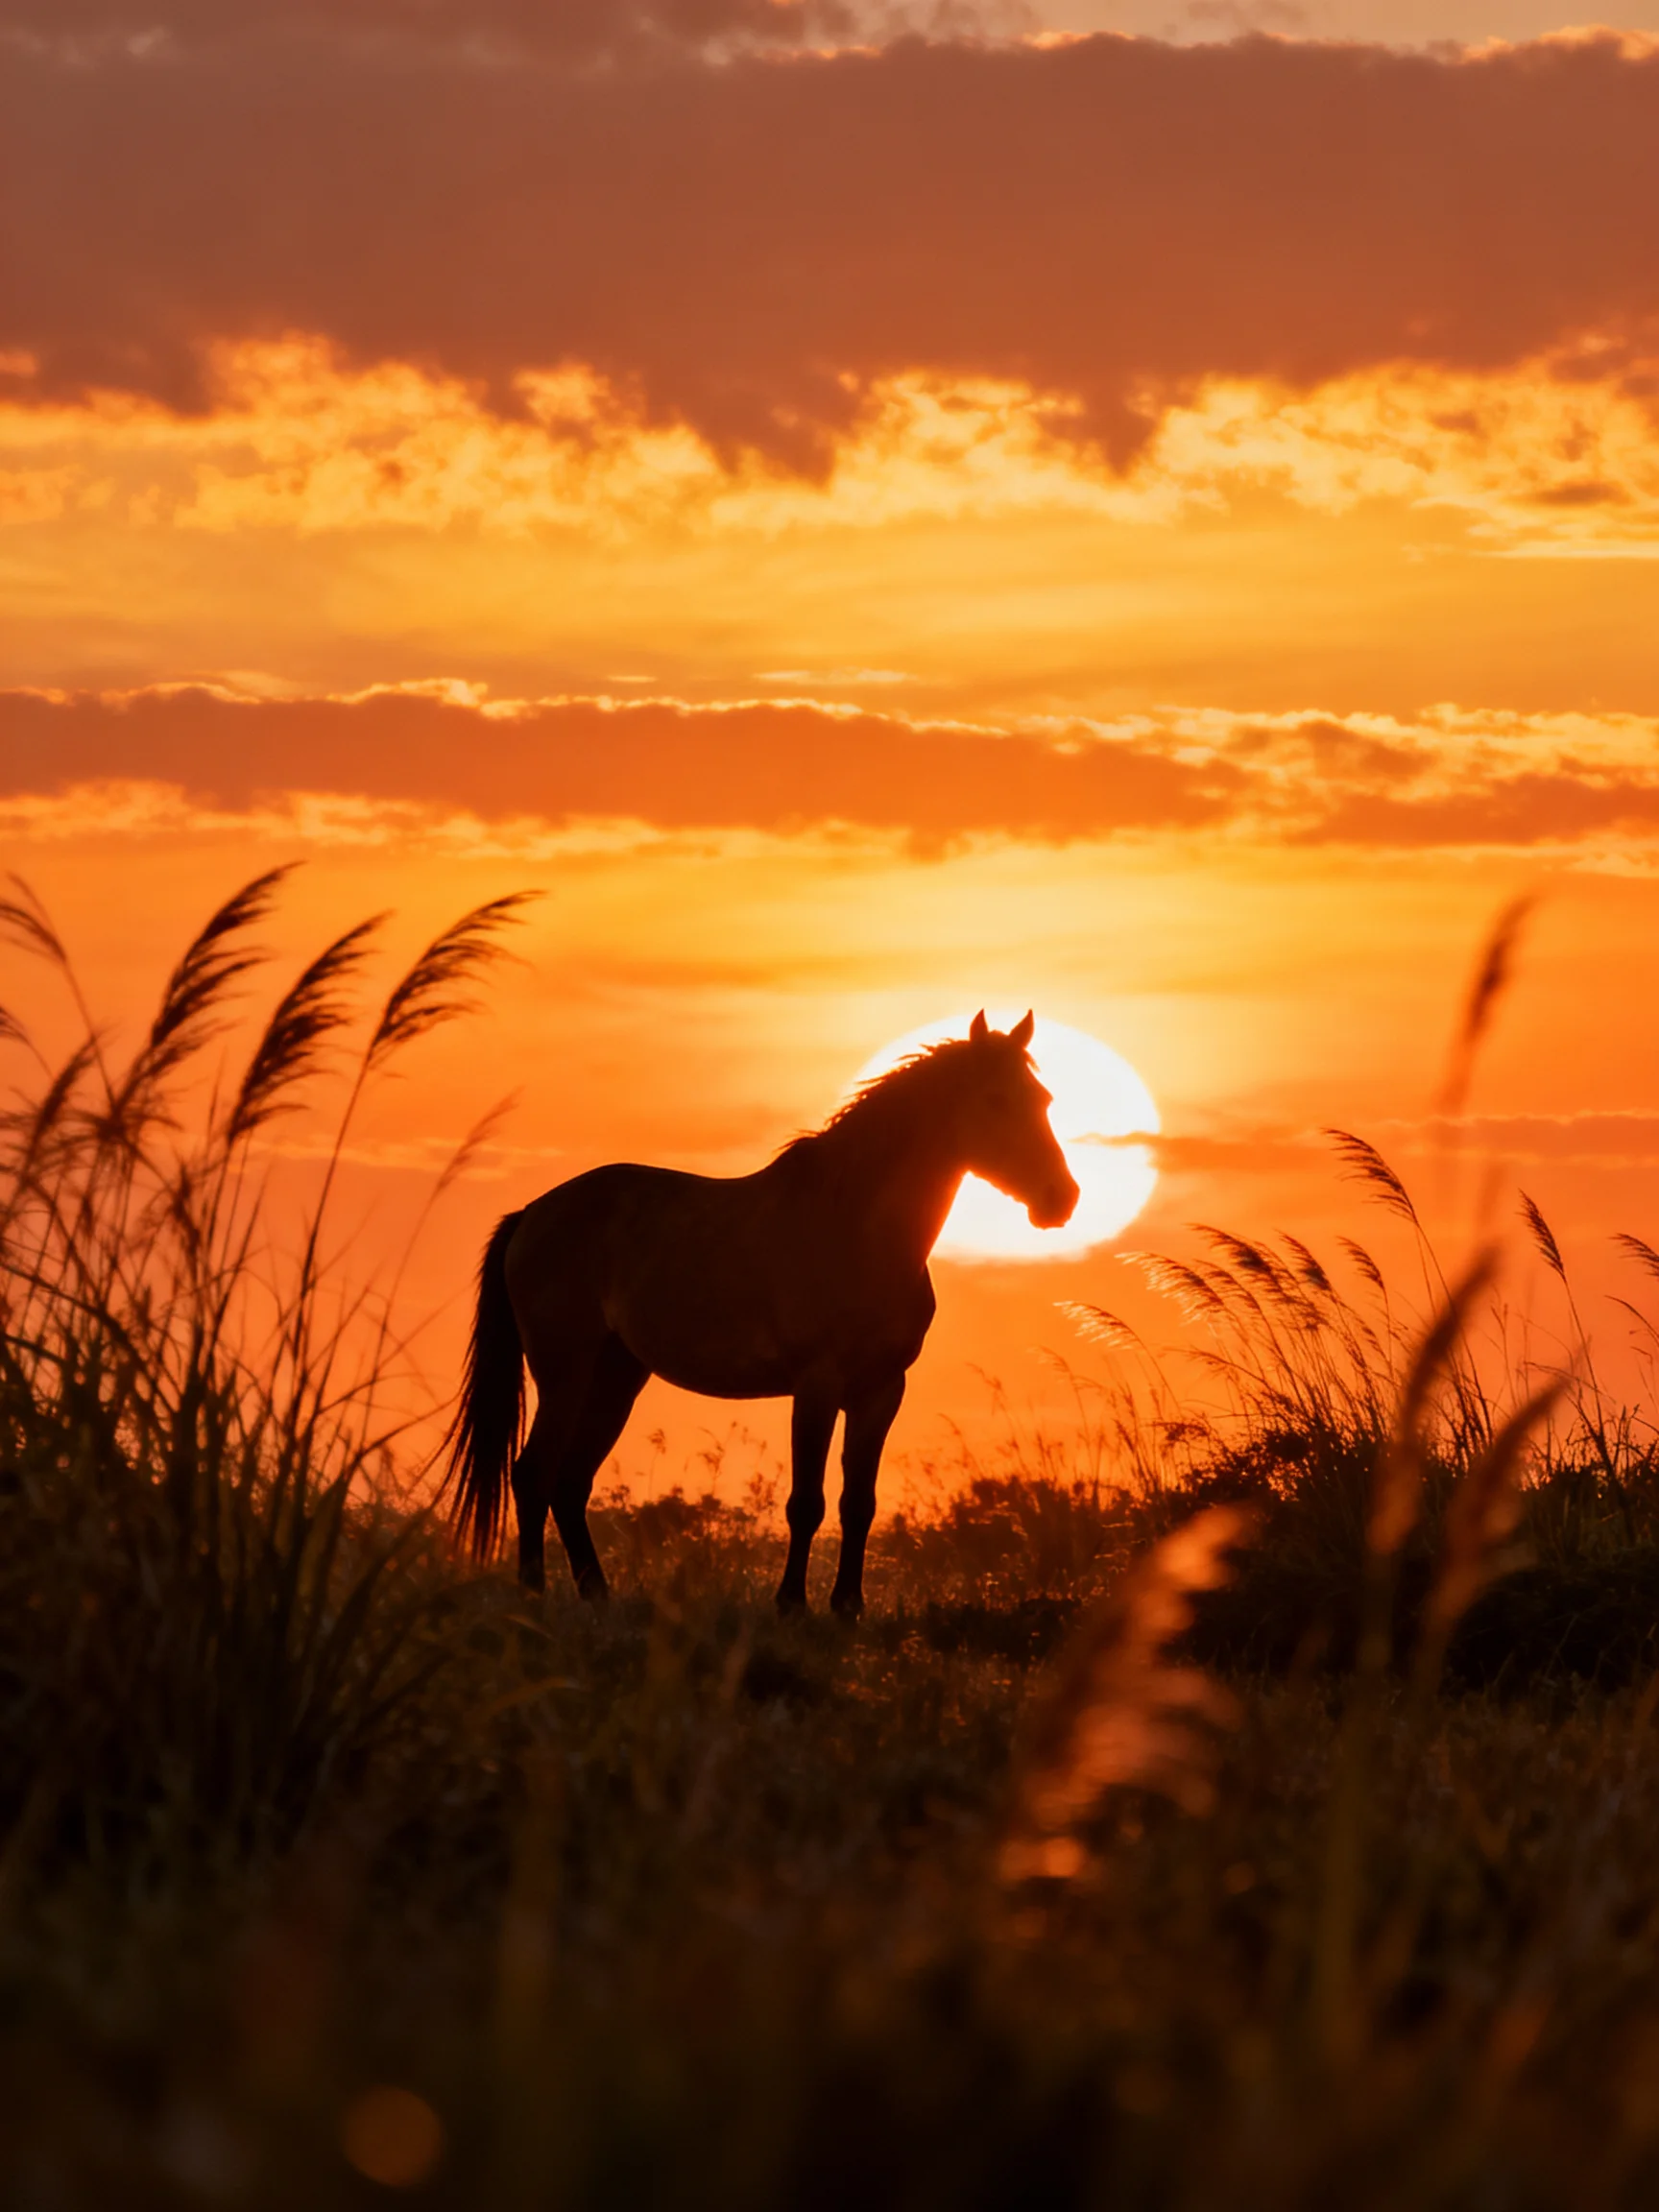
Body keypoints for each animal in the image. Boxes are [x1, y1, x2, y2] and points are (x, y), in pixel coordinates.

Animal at [442, 1010, 1079, 1615]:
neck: (857, 1231)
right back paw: (533, 1597)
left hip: (615, 1376)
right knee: (533, 1474)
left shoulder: (881, 1390)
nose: (1060, 1199)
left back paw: (596, 1596)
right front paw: (791, 1604)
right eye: (995, 1099)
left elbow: (859, 1503)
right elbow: (807, 1503)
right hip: (564, 1373)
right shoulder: (817, 1385)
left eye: (1045, 1099)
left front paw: (848, 1607)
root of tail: (532, 1213)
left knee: (570, 1483)